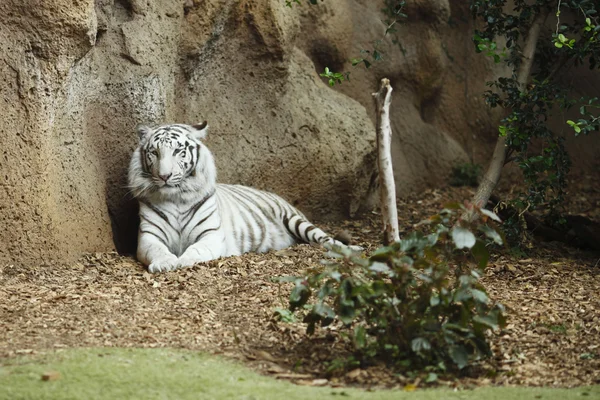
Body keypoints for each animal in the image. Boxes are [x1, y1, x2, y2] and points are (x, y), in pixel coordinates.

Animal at [128, 121, 358, 272]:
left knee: (327, 239)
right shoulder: (149, 236)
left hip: (296, 221)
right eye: (154, 152)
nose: (164, 176)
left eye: (178, 151)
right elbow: (158, 250)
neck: (176, 197)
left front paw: (183, 261)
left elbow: (196, 249)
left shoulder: (211, 235)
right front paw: (165, 263)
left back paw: (353, 249)